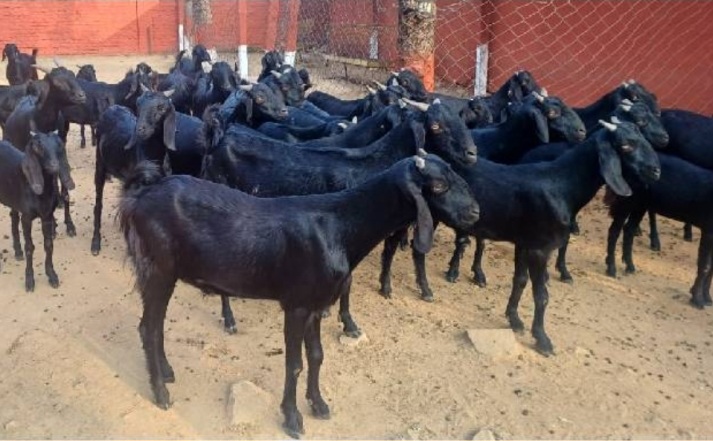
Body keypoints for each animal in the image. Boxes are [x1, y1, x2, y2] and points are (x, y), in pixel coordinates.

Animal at [0, 132, 74, 291]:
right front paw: (29, 280)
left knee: (13, 217)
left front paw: (52, 275)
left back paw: (17, 251)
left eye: (59, 145)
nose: (55, 166)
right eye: (38, 148)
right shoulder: (27, 218)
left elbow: (49, 244)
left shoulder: (47, 216)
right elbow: (30, 247)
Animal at [118, 152, 479, 438]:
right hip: (158, 269)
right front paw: (292, 419)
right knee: (148, 328)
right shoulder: (296, 305)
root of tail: (141, 194)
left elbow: (317, 356)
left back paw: (166, 372)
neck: (339, 227)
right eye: (438, 185)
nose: (475, 213)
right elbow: (293, 364)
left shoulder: (317, 304)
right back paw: (161, 393)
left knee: (156, 327)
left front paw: (318, 404)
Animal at [381, 119, 660, 354]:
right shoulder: (540, 247)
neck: (563, 186)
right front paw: (543, 340)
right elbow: (542, 295)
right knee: (393, 244)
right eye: (626, 145)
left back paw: (425, 289)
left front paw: (514, 319)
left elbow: (520, 281)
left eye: (643, 138)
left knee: (417, 249)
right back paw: (386, 287)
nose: (656, 171)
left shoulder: (525, 242)